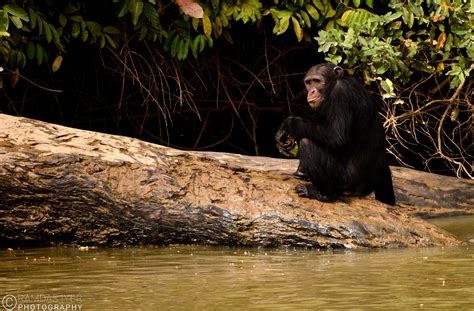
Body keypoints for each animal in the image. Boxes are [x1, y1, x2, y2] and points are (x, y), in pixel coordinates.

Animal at [276, 63, 394, 206]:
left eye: (317, 81)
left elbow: (335, 135)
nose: (311, 91)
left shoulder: (340, 93)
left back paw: (322, 194)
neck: (331, 85)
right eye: (309, 82)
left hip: (345, 182)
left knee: (307, 144)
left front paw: (288, 124)